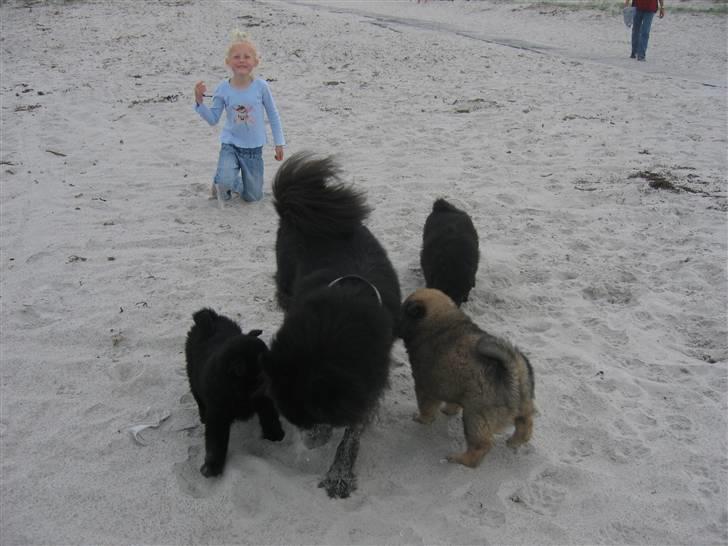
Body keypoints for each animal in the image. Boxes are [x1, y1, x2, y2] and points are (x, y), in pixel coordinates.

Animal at [183, 306, 282, 476]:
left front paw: (275, 435)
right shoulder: (217, 414)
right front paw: (212, 466)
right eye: (262, 372)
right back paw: (202, 416)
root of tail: (211, 318)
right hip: (192, 379)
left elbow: (270, 418)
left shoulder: (264, 401)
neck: (241, 390)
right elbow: (216, 442)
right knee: (198, 399)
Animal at [262, 152, 400, 498]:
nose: (311, 444)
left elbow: (352, 433)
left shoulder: (369, 381)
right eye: (295, 420)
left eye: (317, 416)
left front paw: (339, 474)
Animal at [398, 286, 536, 466]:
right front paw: (448, 411)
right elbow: (453, 403)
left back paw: (461, 459)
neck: (439, 321)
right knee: (525, 422)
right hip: (524, 404)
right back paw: (515, 441)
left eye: (403, 311)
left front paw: (421, 419)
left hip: (475, 416)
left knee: (481, 446)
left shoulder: (425, 386)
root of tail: (513, 375)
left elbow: (426, 407)